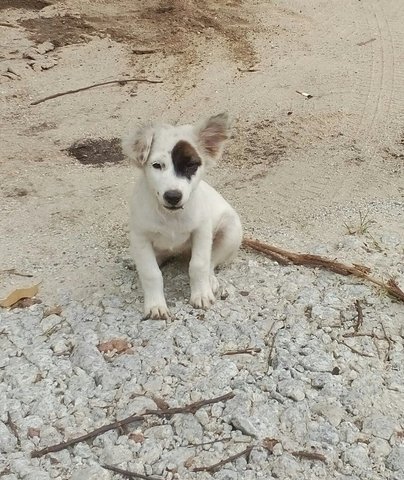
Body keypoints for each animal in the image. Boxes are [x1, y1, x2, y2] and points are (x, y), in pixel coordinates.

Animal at [123, 113, 241, 318]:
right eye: (157, 165)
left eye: (191, 165)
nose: (172, 196)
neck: (171, 216)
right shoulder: (140, 237)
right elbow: (150, 273)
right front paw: (156, 305)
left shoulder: (201, 231)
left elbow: (199, 265)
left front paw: (201, 295)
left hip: (231, 230)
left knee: (211, 261)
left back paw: (210, 281)